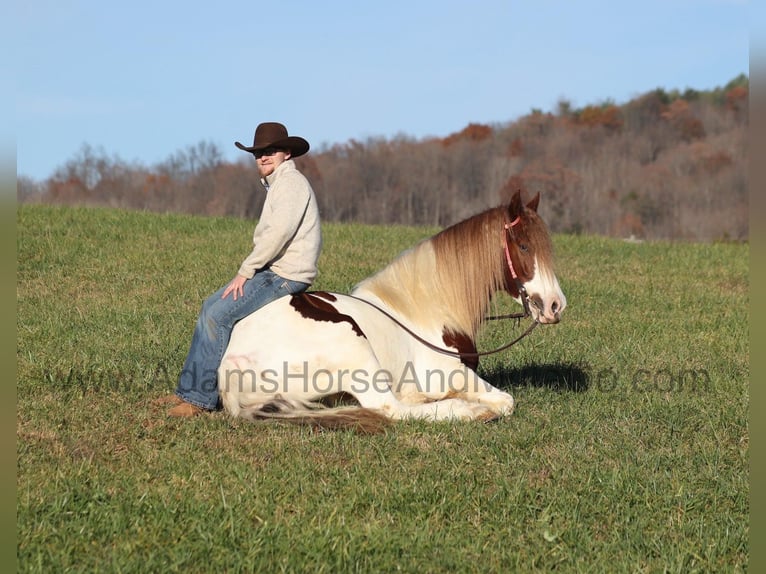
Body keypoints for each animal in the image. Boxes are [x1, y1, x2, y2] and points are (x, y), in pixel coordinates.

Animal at [219, 191, 568, 434]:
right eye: (523, 246)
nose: (555, 305)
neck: (425, 312)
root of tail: (232, 363)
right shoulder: (454, 373)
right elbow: (506, 401)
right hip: (352, 343)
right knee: (391, 408)